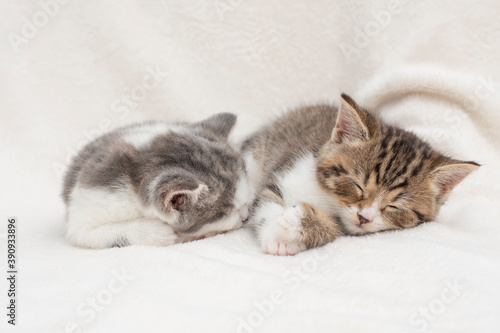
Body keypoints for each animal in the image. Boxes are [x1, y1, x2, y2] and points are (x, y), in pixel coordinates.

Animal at [62, 113, 254, 248]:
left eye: (245, 200)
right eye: (221, 213)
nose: (246, 217)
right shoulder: (92, 201)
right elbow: (90, 233)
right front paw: (157, 233)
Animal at [243, 94, 480, 255]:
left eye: (395, 207)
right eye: (357, 185)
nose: (364, 217)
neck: (330, 200)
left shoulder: (349, 228)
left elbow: (335, 229)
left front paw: (294, 227)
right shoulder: (289, 171)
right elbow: (266, 200)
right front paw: (276, 236)